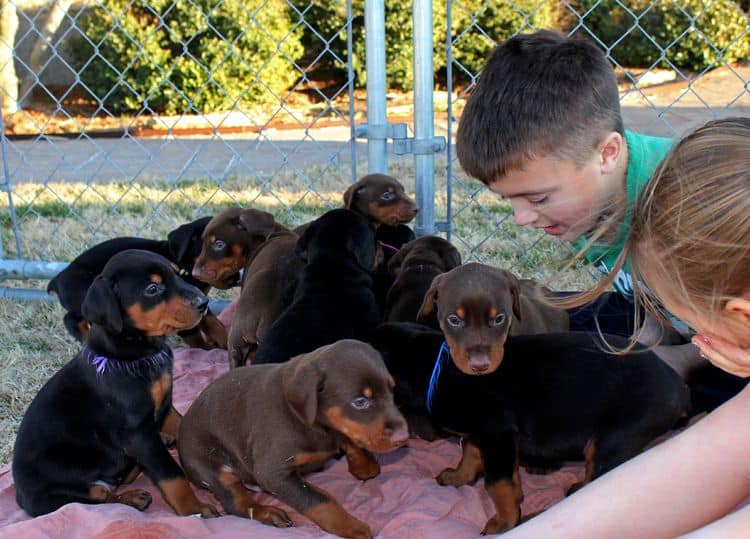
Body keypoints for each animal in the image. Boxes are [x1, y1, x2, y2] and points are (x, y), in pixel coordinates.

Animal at [13, 251, 219, 520]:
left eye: (178, 274)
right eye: (152, 289)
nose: (203, 302)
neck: (133, 356)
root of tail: (20, 497)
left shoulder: (164, 402)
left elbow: (181, 423)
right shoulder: (138, 431)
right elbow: (170, 474)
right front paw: (194, 508)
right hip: (62, 484)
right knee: (96, 498)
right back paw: (133, 497)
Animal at [47, 216, 226, 350]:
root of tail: (57, 278)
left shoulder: (198, 298)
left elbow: (214, 323)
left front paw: (223, 342)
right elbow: (194, 334)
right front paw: (207, 349)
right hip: (87, 295)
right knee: (72, 319)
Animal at [178, 342, 408, 539]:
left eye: (392, 390)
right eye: (360, 401)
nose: (403, 437)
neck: (312, 423)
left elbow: (347, 437)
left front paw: (364, 464)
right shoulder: (274, 473)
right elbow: (319, 501)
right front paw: (352, 526)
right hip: (212, 468)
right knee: (235, 503)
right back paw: (269, 513)